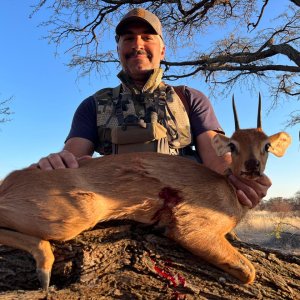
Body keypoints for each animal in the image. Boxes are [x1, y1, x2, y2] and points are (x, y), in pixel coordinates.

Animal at [0, 95, 292, 290]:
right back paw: (44, 270)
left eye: (266, 145)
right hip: (73, 217)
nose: (252, 166)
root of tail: (12, 180)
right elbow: (249, 272)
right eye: (232, 145)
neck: (228, 190)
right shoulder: (192, 230)